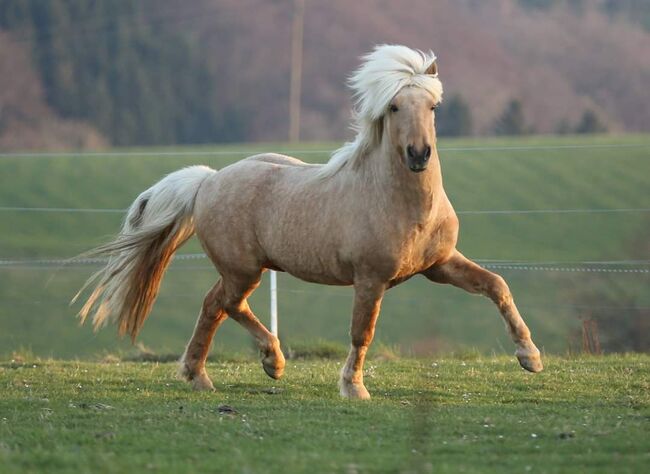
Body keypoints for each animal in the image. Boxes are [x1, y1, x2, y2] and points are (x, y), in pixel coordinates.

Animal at [74, 45, 540, 400]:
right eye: (393, 106)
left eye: (433, 106)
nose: (419, 154)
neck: (400, 204)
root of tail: (208, 180)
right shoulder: (370, 279)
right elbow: (362, 332)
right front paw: (354, 388)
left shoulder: (439, 265)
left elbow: (497, 285)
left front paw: (530, 358)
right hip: (244, 270)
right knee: (227, 304)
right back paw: (270, 362)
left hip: (241, 271)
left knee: (214, 306)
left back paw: (203, 375)